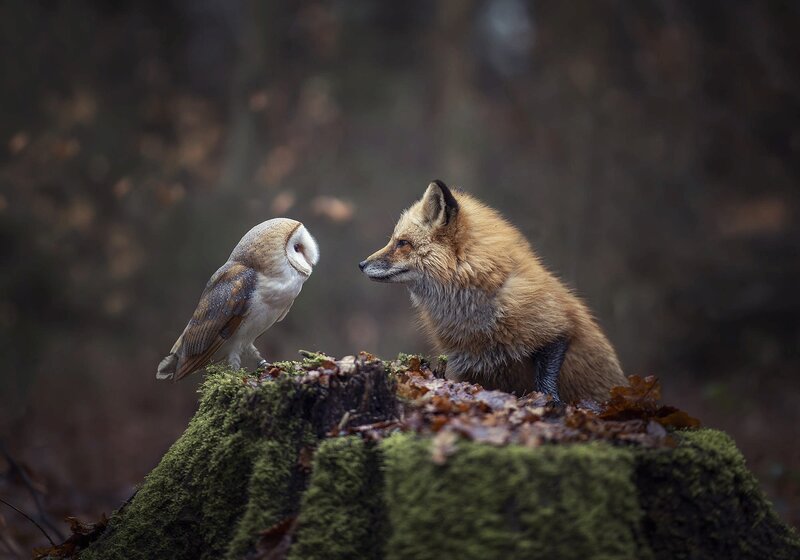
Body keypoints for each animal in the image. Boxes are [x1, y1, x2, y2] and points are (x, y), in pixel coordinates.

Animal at [359, 180, 626, 403]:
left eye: (402, 243)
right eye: (394, 240)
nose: (361, 264)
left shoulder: (557, 329)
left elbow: (545, 383)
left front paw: (551, 403)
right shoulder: (468, 367)